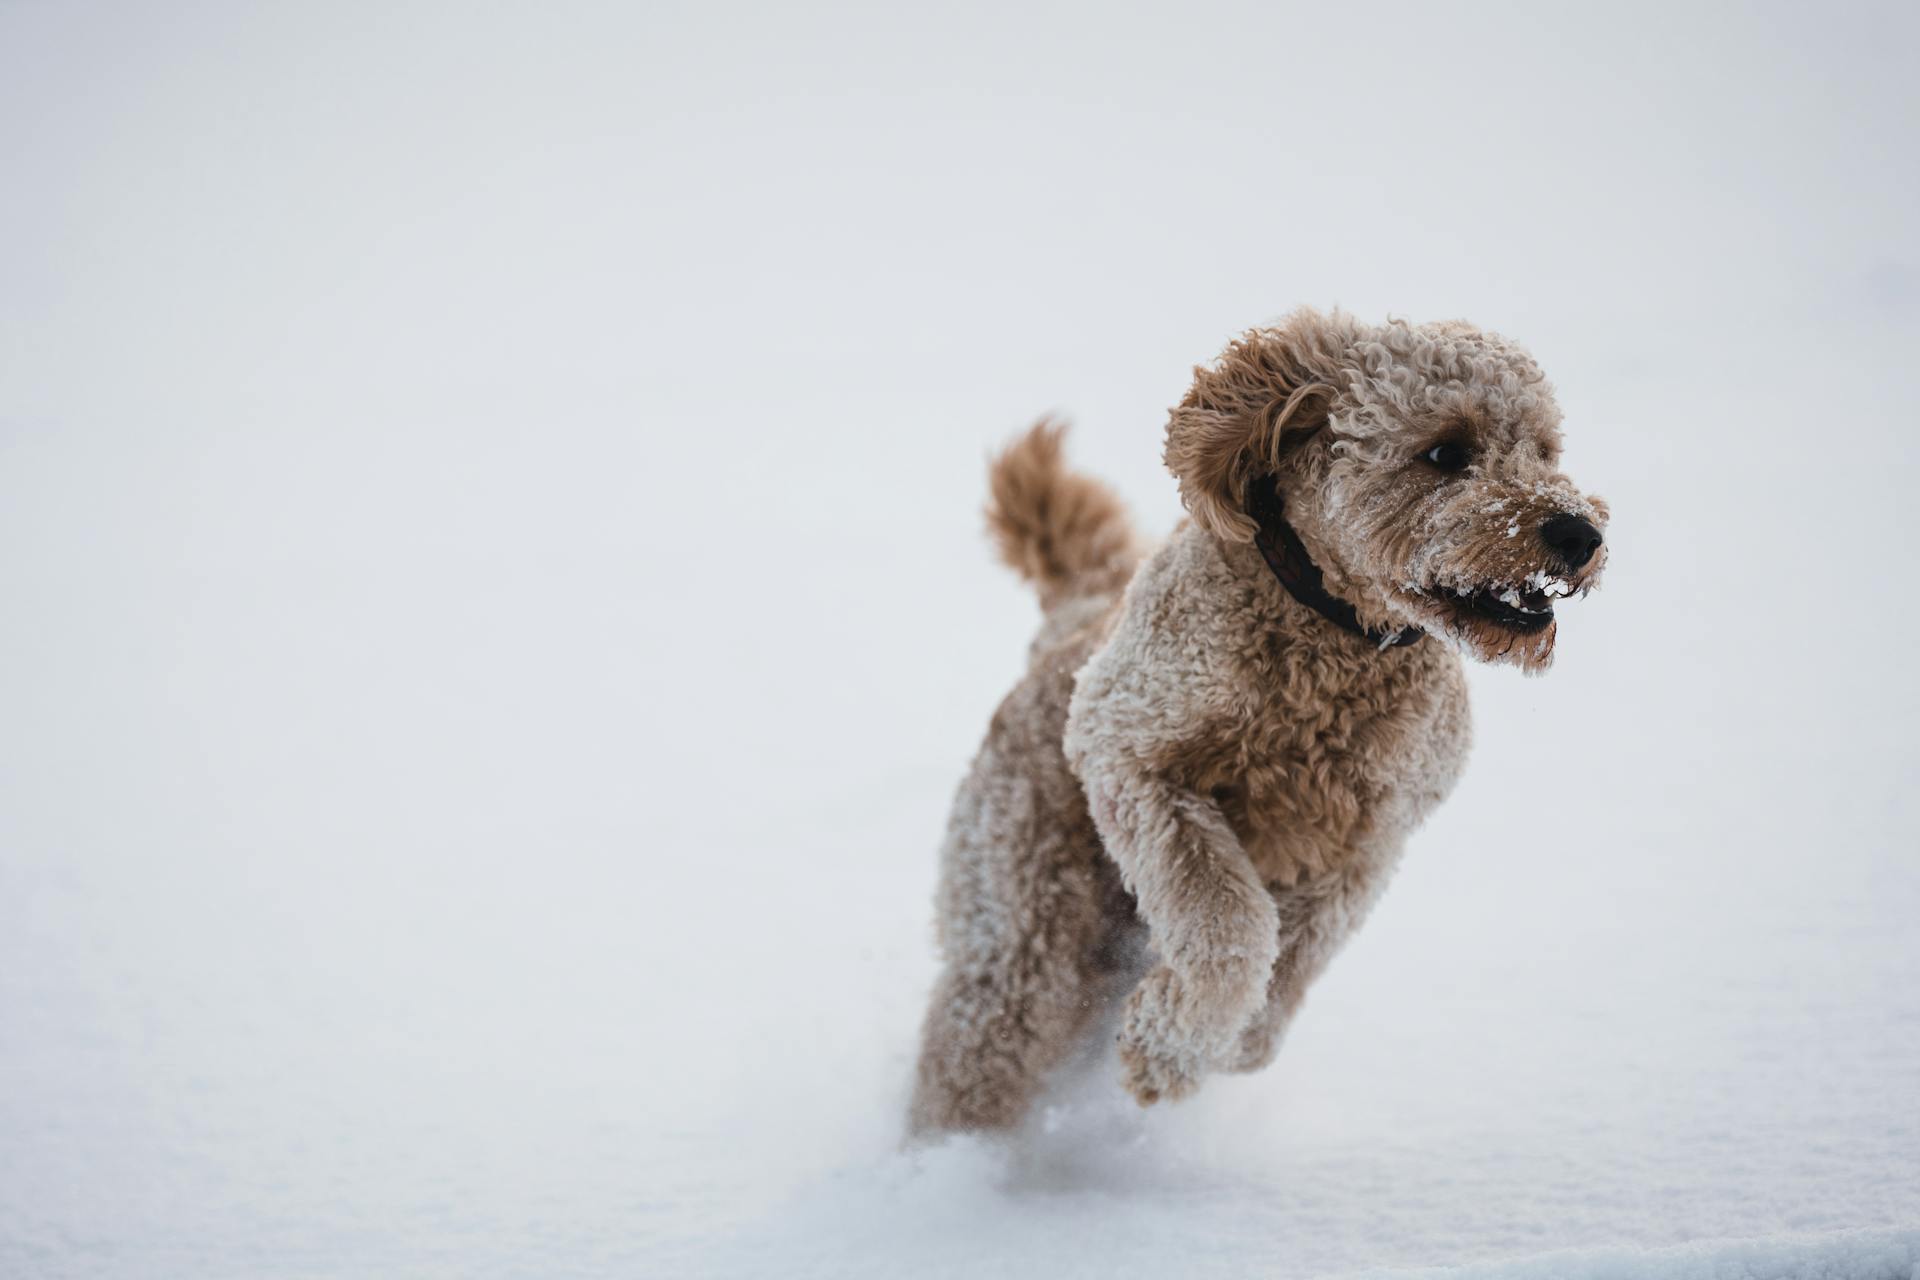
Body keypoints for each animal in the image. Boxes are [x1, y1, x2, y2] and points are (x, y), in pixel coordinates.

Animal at [910, 307, 1605, 1128]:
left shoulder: (1369, 841)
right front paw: (1164, 1053)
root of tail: (1071, 625)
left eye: (1545, 450)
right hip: (1019, 920)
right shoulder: (1129, 754)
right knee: (981, 1042)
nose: (1580, 535)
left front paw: (1215, 1043)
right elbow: (1231, 928)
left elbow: (1289, 965)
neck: (1334, 636)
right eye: (1445, 452)